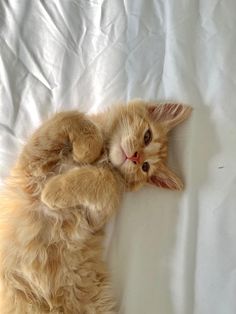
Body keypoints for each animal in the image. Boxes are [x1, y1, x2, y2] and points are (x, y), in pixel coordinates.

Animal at [0, 99, 192, 312]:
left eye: (145, 167)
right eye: (147, 136)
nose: (135, 158)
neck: (105, 158)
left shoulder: (93, 217)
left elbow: (105, 179)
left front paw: (53, 190)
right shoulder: (33, 161)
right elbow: (74, 118)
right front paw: (87, 151)